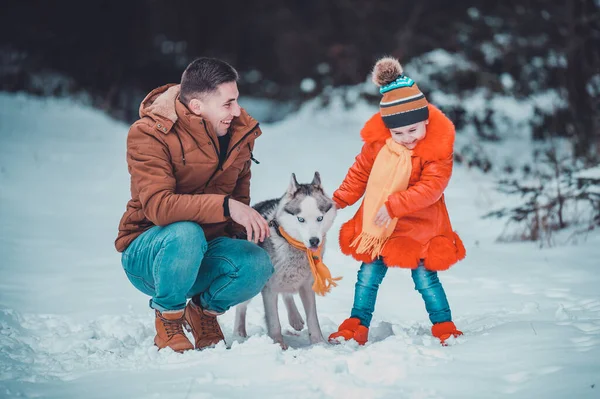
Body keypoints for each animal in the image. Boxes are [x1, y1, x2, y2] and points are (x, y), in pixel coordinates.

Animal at [234, 173, 338, 348]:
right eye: (301, 219)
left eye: (320, 218)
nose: (314, 241)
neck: (292, 244)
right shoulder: (268, 289)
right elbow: (274, 322)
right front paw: (278, 345)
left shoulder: (307, 286)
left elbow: (313, 320)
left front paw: (319, 343)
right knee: (240, 307)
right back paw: (239, 333)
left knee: (286, 294)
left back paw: (295, 318)